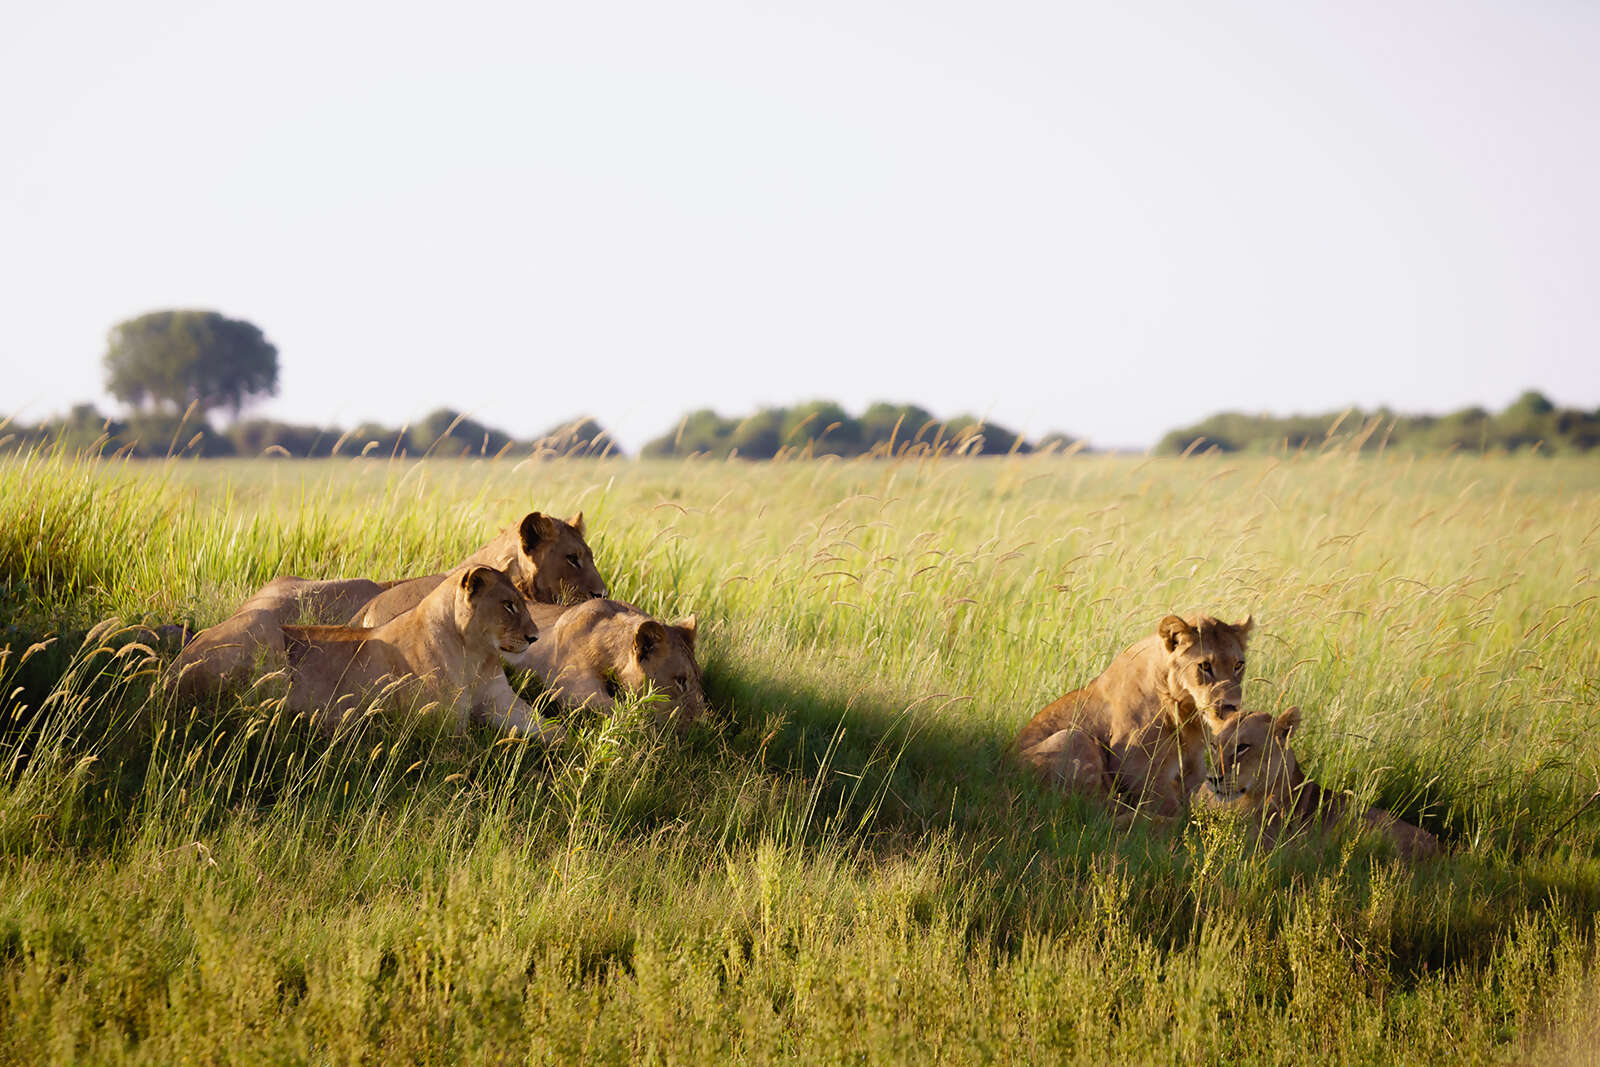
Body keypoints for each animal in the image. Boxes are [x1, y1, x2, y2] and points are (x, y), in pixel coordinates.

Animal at [273, 566, 564, 740]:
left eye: (522, 603)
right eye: (507, 605)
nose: (534, 637)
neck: (474, 655)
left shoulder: (501, 700)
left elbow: (552, 729)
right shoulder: (446, 723)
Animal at [1014, 613, 1253, 817]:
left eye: (1238, 665)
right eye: (1204, 666)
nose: (1231, 707)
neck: (1186, 713)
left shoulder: (1193, 766)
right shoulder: (1134, 766)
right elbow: (1170, 807)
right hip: (1072, 737)